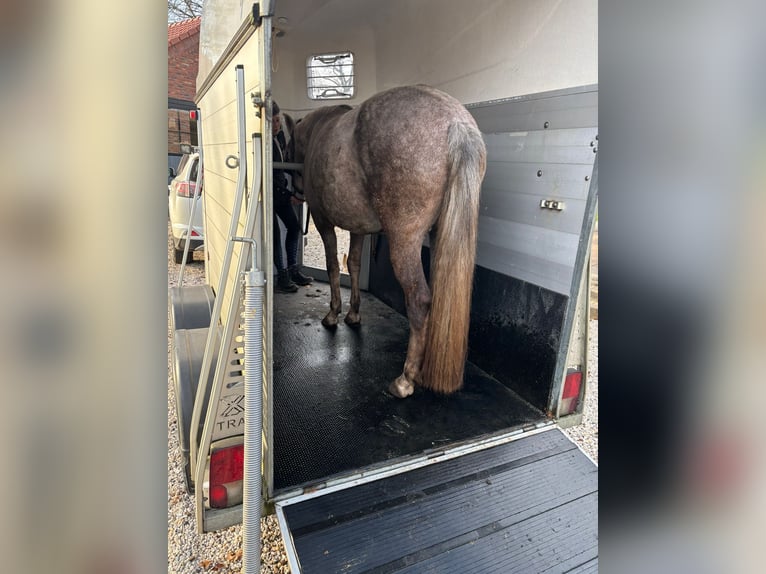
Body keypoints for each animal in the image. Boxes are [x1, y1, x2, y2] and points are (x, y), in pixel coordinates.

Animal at [288, 85, 486, 398]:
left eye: (287, 145)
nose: (294, 193)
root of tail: (456, 124)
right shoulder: (358, 229)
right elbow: (354, 265)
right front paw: (353, 314)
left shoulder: (323, 221)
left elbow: (333, 266)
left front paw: (333, 314)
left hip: (405, 241)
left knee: (419, 299)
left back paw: (405, 379)